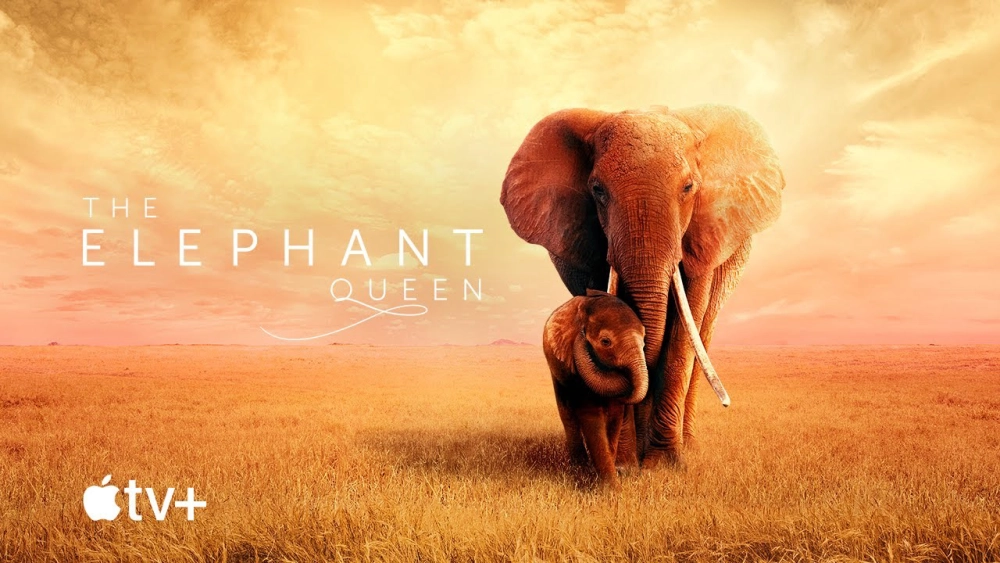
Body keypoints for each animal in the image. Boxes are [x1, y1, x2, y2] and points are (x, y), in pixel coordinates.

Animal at [501, 104, 784, 467]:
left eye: (689, 187)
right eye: (597, 190)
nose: (727, 403)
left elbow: (682, 336)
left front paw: (663, 464)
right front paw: (625, 463)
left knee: (702, 334)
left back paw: (686, 446)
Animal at [542, 290, 648, 487]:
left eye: (644, 343)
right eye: (605, 342)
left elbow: (615, 416)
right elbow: (591, 415)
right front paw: (609, 489)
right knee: (567, 415)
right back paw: (579, 468)